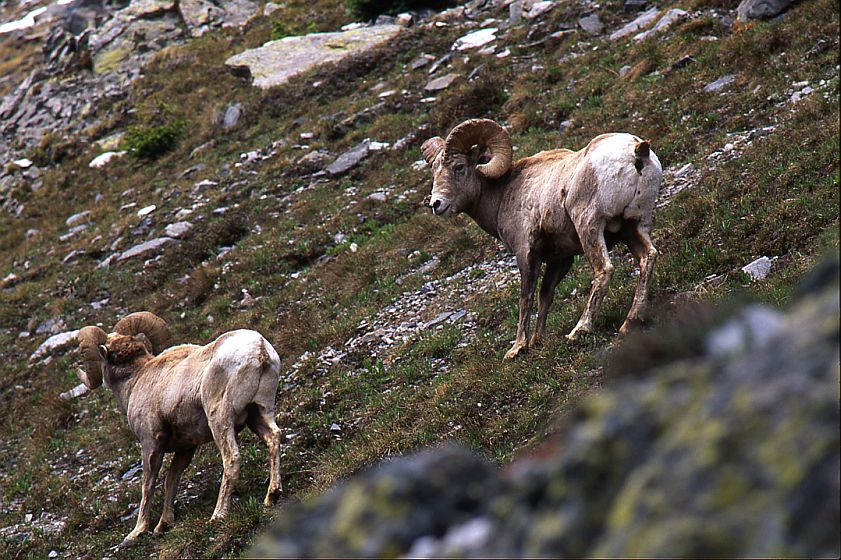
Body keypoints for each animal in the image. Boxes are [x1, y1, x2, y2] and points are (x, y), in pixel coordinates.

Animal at [73, 312, 283, 544]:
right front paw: (163, 525)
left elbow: (148, 484)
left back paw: (217, 515)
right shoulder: (186, 447)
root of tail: (259, 351)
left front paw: (137, 532)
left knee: (231, 458)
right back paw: (272, 495)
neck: (135, 380)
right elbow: (171, 480)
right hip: (260, 412)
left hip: (220, 419)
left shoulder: (150, 443)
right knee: (274, 437)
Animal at [421, 119, 662, 360]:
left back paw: (579, 330)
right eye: (434, 171)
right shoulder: (560, 259)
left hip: (589, 225)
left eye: (459, 167)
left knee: (604, 270)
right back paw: (630, 322)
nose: (436, 204)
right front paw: (538, 341)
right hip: (634, 226)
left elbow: (526, 297)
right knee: (648, 257)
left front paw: (517, 348)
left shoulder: (526, 253)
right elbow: (545, 294)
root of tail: (636, 151)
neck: (502, 194)